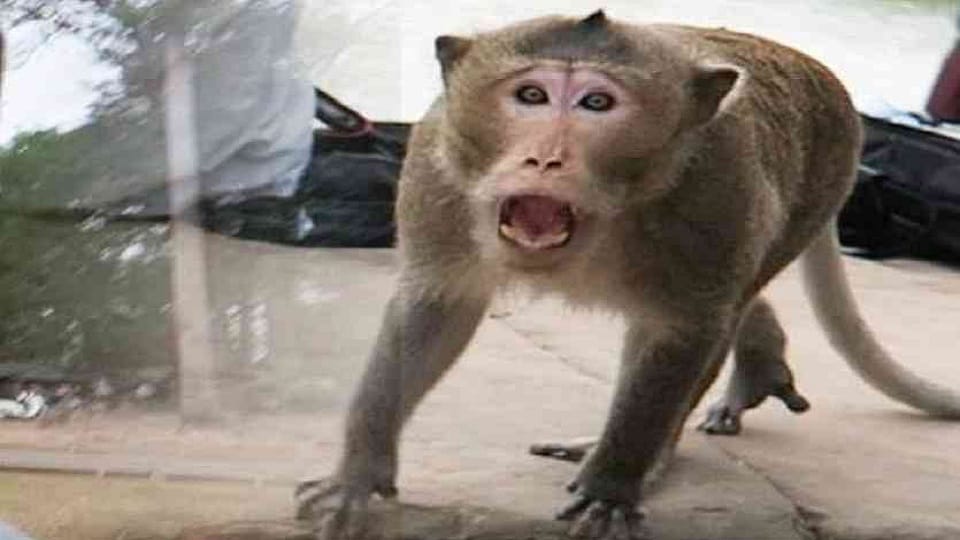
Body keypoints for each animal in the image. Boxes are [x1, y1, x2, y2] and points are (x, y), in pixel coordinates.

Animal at [296, 11, 960, 540]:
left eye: (597, 103)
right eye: (531, 95)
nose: (545, 158)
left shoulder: (718, 191)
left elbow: (681, 332)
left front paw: (612, 486)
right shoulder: (439, 175)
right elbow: (433, 311)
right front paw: (357, 476)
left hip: (819, 185)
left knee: (723, 310)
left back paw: (669, 442)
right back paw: (759, 362)